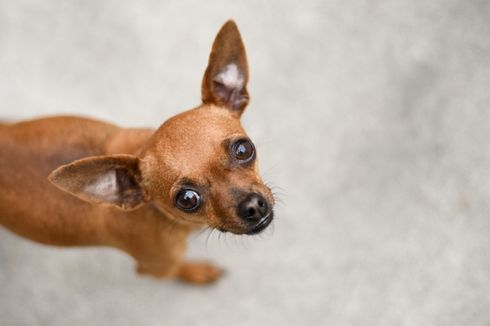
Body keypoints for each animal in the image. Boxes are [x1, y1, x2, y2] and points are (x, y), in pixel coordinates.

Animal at [0, 21, 276, 286]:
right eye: (187, 199)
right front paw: (196, 271)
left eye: (244, 149)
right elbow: (179, 269)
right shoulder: (158, 268)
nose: (252, 206)